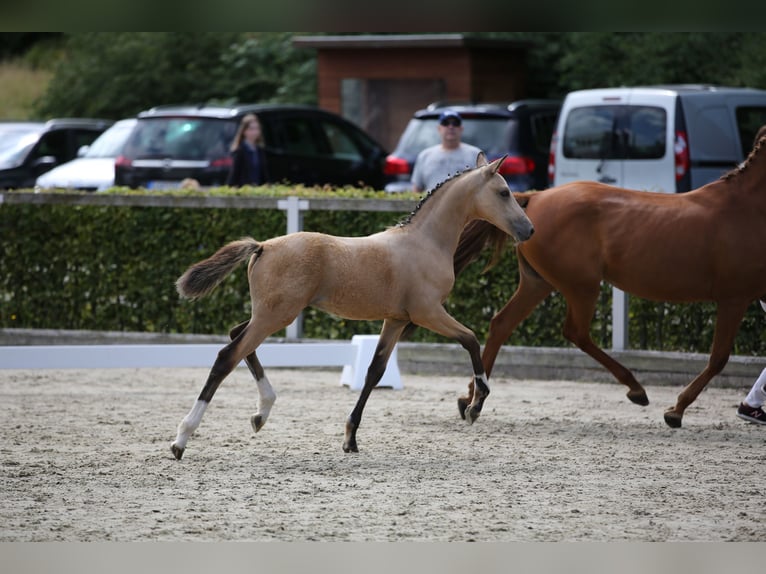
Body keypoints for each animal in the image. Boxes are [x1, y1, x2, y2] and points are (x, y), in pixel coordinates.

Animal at [171, 152, 536, 460]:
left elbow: (375, 372)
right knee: (227, 356)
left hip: (268, 314)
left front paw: (350, 438)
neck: (425, 243)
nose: (529, 229)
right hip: (276, 315)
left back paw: (261, 413)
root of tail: (262, 246)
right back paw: (181, 439)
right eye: (503, 192)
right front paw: (476, 405)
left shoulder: (396, 320)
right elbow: (471, 340)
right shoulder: (428, 313)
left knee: (238, 338)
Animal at [452, 130, 766, 428]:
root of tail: (535, 199)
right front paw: (676, 411)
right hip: (582, 285)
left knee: (502, 323)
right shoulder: (734, 297)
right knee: (575, 332)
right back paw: (636, 388)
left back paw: (470, 398)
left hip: (538, 282)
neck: (746, 208)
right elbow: (719, 357)